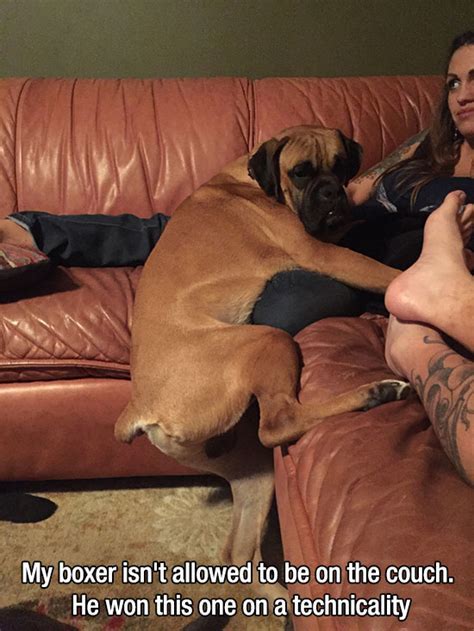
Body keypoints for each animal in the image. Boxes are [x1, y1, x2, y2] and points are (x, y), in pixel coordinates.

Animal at [114, 124, 408, 616]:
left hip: (252, 469)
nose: (332, 193)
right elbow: (389, 273)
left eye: (341, 165)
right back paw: (375, 392)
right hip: (269, 340)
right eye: (301, 172)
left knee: (237, 550)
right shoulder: (324, 255)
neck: (256, 184)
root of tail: (141, 406)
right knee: (280, 422)